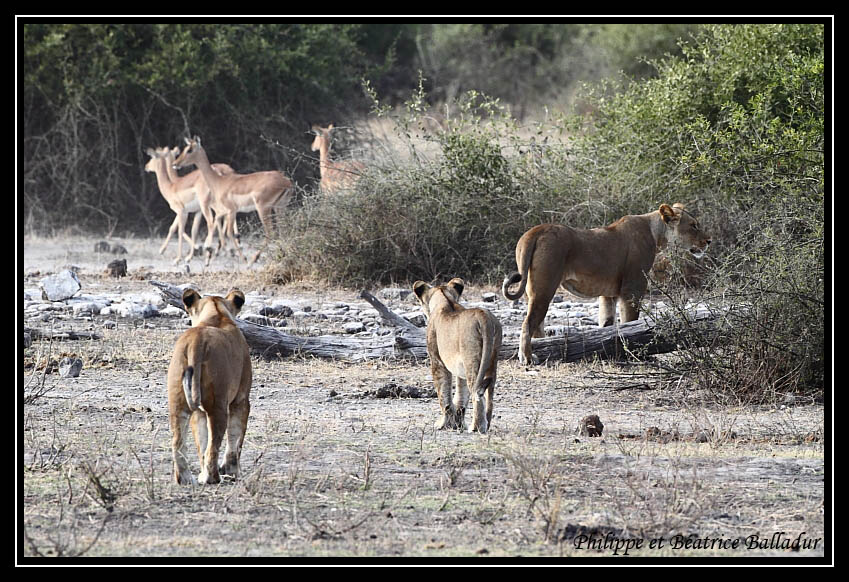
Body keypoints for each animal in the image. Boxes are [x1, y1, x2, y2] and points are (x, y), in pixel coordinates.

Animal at [166, 290, 252, 486]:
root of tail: (196, 341)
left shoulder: (198, 411)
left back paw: (186, 479)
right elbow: (235, 438)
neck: (217, 312)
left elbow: (201, 442)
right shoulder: (241, 400)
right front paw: (232, 471)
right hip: (218, 404)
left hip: (178, 403)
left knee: (177, 442)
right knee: (214, 446)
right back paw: (212, 477)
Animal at [412, 280, 500, 436]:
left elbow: (444, 394)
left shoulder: (437, 361)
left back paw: (477, 427)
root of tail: (483, 316)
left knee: (477, 393)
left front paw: (443, 424)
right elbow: (461, 396)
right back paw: (487, 424)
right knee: (489, 393)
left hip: (472, 361)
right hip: (492, 361)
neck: (445, 299)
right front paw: (458, 424)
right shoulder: (459, 368)